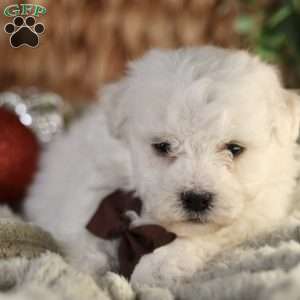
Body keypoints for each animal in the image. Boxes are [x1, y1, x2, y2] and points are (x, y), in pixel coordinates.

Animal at [24, 47, 300, 290]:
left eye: (234, 148)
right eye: (163, 146)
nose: (196, 199)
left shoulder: (260, 212)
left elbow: (207, 235)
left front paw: (155, 268)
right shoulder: (97, 183)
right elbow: (85, 227)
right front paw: (84, 267)